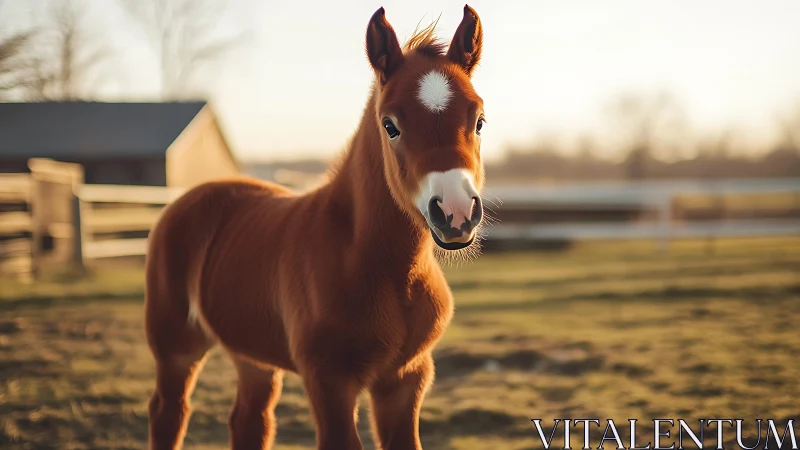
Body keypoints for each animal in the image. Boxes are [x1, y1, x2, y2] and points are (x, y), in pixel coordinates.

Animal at [144, 5, 487, 450]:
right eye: (390, 125)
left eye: (479, 121)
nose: (456, 212)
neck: (385, 271)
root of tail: (186, 199)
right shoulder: (328, 380)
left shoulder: (406, 377)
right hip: (175, 346)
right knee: (169, 412)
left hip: (251, 353)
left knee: (249, 419)